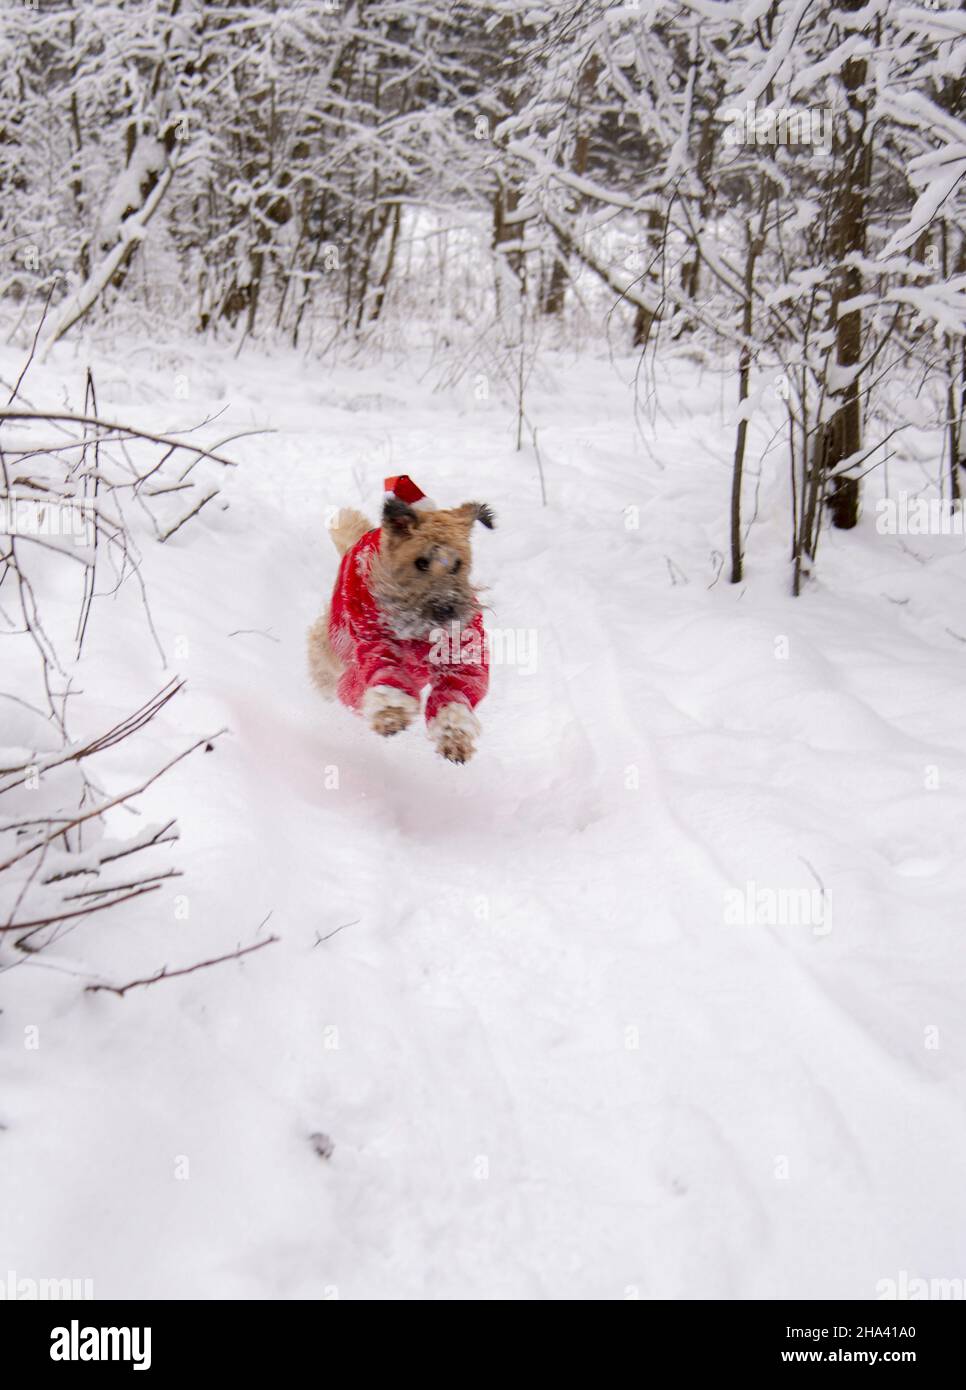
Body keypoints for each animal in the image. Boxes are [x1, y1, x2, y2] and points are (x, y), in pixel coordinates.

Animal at [308, 475, 494, 761]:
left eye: (457, 564)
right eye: (421, 562)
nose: (447, 610)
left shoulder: (462, 656)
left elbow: (456, 691)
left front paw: (454, 735)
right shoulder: (376, 642)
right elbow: (386, 674)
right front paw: (391, 712)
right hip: (338, 640)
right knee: (324, 655)